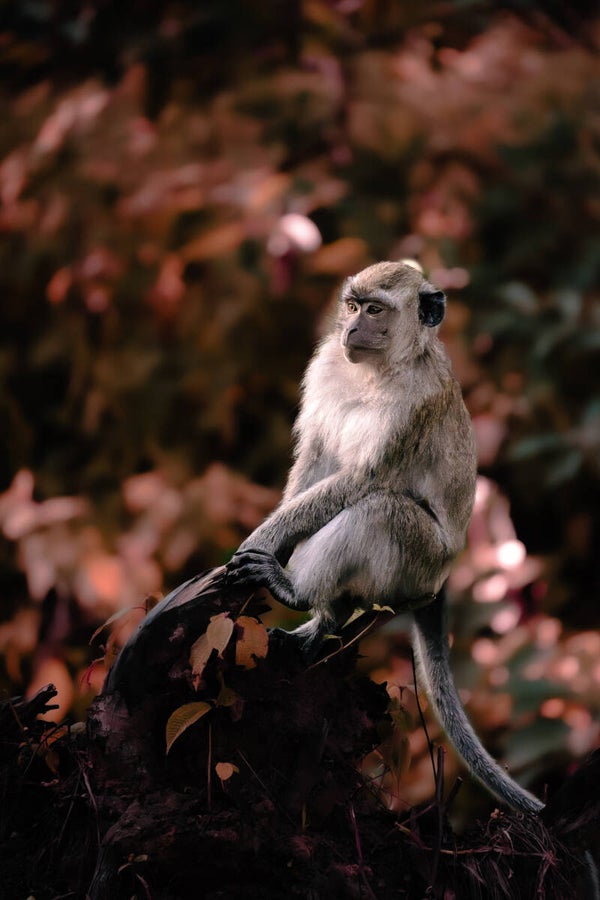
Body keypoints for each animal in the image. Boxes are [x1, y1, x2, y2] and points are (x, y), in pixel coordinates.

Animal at [225, 260, 544, 816]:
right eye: (353, 306)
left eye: (376, 310)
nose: (353, 329)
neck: (379, 370)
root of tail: (443, 577)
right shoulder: (327, 364)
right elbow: (317, 458)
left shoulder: (415, 404)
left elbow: (362, 479)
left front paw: (265, 541)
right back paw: (326, 618)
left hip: (421, 561)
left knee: (379, 510)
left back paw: (302, 594)